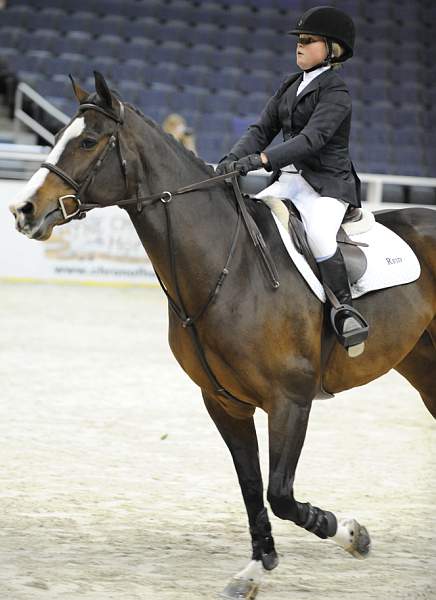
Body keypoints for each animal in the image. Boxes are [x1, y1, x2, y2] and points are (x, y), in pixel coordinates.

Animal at [7, 72, 436, 596]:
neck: (231, 269)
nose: (23, 209)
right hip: (424, 367)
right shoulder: (225, 402)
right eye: (56, 137)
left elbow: (281, 494)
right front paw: (256, 568)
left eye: (88, 141)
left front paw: (354, 535)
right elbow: (252, 487)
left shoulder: (291, 401)